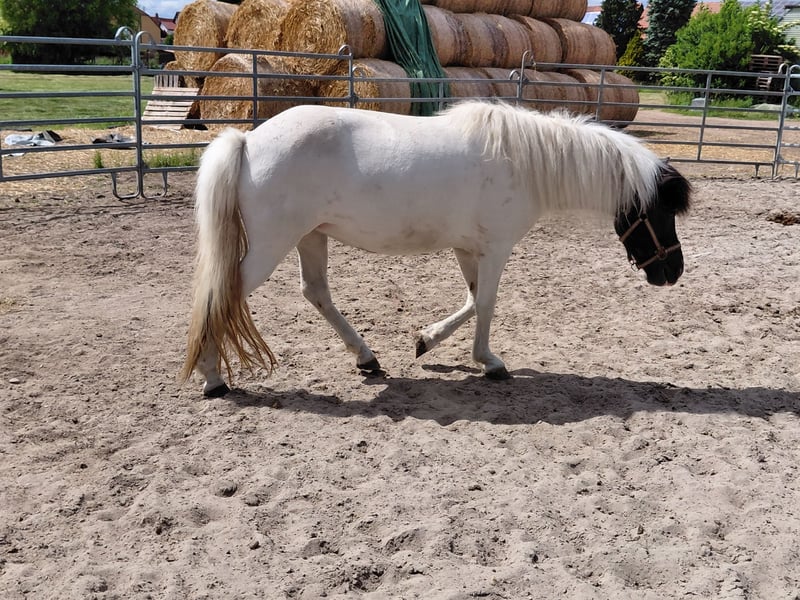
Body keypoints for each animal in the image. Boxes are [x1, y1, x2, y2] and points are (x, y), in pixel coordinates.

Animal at [180, 101, 691, 397]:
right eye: (661, 213)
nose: (673, 272)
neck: (524, 161)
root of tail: (247, 139)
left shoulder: (469, 249)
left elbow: (471, 300)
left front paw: (426, 341)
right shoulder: (496, 248)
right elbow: (487, 303)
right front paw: (490, 363)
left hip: (311, 236)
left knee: (316, 292)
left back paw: (367, 358)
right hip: (274, 243)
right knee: (223, 295)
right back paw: (213, 378)